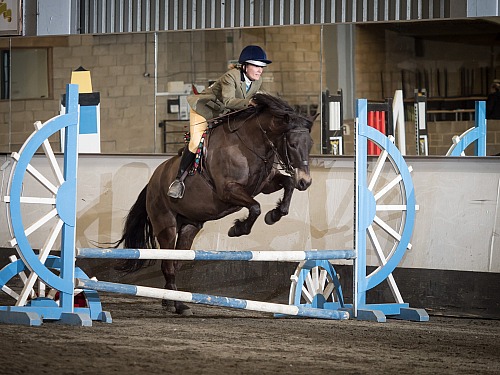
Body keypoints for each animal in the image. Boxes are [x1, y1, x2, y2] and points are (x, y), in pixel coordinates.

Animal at [115, 93, 314, 314]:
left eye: (310, 144)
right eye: (292, 144)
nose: (305, 182)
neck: (251, 143)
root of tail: (152, 182)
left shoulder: (266, 184)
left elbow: (287, 184)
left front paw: (275, 215)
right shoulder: (228, 190)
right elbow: (255, 207)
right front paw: (238, 229)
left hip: (189, 226)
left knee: (175, 263)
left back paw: (174, 302)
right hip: (166, 225)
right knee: (168, 262)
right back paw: (177, 305)